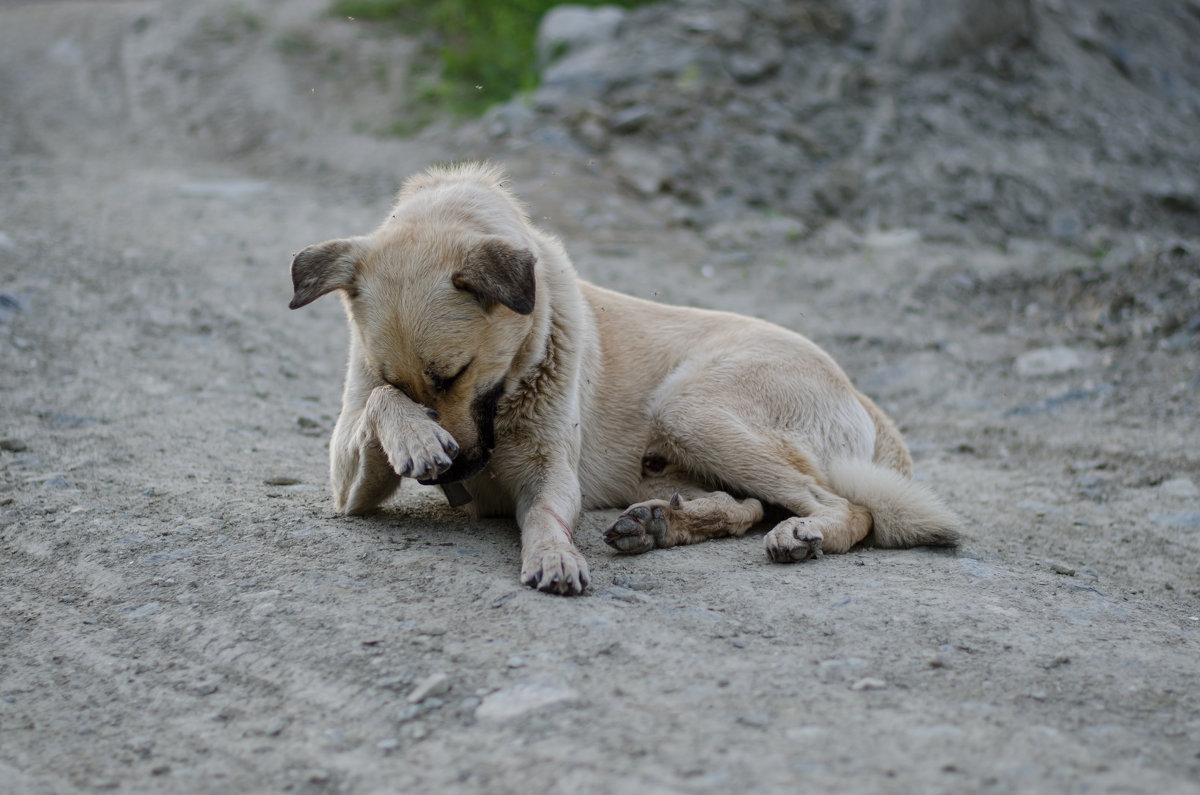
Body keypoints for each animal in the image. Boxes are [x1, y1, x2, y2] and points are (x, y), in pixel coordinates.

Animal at [288, 163, 955, 598]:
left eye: (455, 374)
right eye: (401, 378)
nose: (452, 475)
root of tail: (858, 393)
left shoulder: (549, 474)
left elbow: (544, 519)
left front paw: (554, 553)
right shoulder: (348, 484)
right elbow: (377, 403)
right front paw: (415, 435)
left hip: (689, 408)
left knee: (847, 507)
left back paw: (800, 531)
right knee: (748, 506)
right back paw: (665, 522)